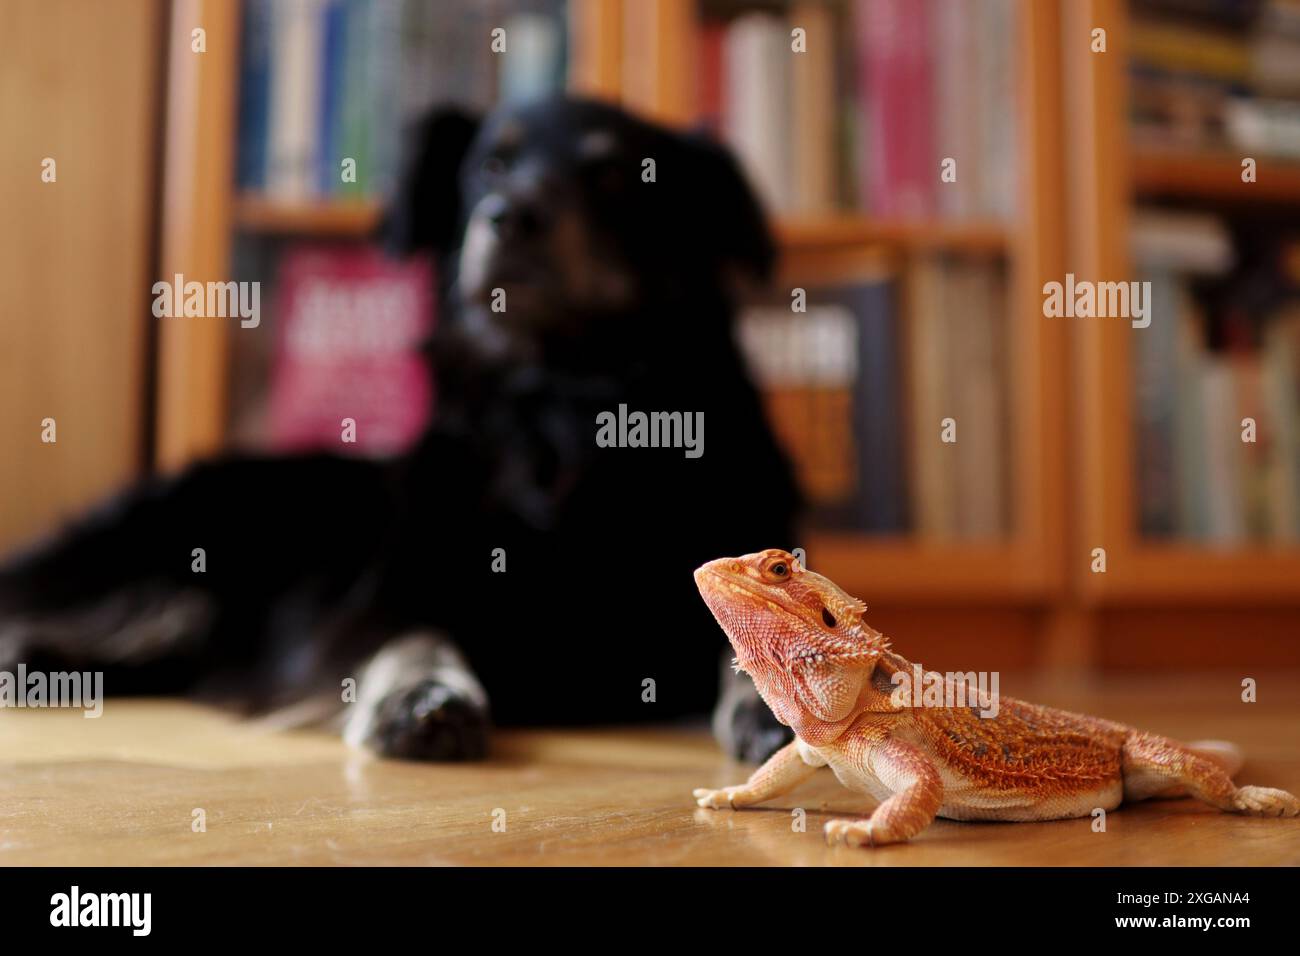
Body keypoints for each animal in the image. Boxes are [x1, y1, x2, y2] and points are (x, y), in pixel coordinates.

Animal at [0, 98, 795, 764]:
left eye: (614, 175)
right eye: (490, 168)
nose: (510, 215)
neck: (559, 406)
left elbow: (752, 634)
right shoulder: (375, 601)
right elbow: (415, 631)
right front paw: (423, 696)